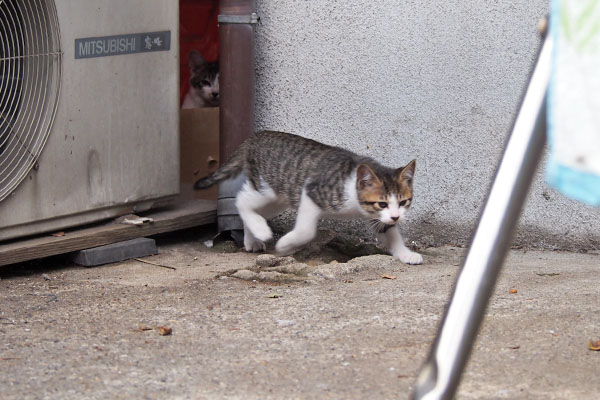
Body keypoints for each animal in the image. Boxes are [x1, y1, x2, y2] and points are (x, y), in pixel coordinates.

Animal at [195, 130, 424, 266]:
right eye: (382, 203)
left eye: (403, 202)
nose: (396, 216)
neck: (352, 186)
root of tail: (257, 135)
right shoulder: (311, 193)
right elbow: (306, 230)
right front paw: (285, 245)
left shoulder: (377, 216)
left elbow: (390, 232)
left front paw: (405, 254)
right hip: (267, 188)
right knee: (241, 200)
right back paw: (260, 231)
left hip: (280, 197)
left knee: (254, 208)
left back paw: (252, 240)